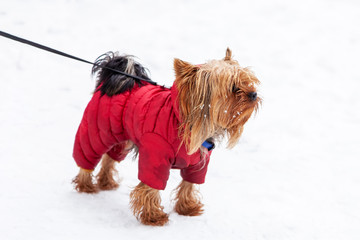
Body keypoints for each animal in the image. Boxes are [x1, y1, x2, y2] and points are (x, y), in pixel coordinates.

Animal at [71, 48, 260, 225]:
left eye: (246, 81)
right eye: (233, 88)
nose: (253, 94)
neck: (189, 122)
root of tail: (114, 76)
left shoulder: (197, 163)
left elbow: (189, 183)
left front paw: (187, 207)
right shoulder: (155, 156)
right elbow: (151, 187)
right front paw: (153, 216)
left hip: (121, 138)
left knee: (110, 158)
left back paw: (106, 182)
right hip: (96, 132)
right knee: (87, 156)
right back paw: (85, 185)